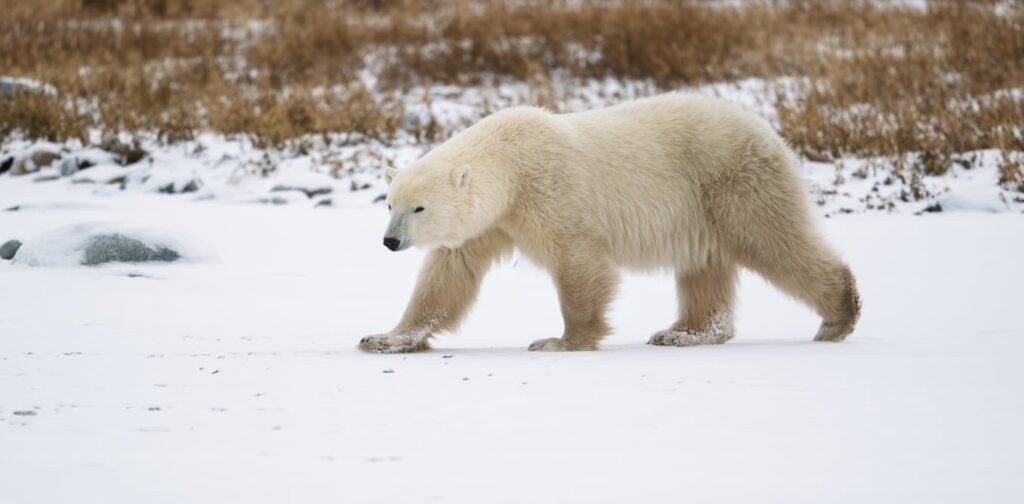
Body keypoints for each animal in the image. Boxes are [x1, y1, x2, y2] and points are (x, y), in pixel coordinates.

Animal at [359, 93, 861, 353]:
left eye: (419, 208)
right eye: (390, 205)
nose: (389, 242)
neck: (512, 163)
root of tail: (768, 132)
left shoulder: (551, 194)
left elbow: (579, 262)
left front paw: (560, 340)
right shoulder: (491, 222)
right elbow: (447, 276)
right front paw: (384, 337)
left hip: (733, 184)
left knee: (774, 242)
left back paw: (838, 317)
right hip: (704, 208)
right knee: (705, 268)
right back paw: (682, 333)